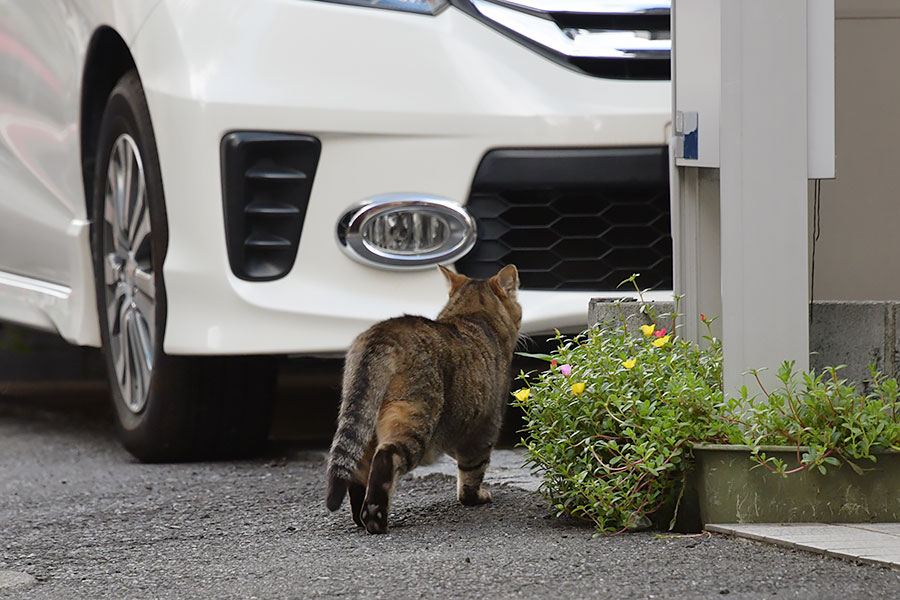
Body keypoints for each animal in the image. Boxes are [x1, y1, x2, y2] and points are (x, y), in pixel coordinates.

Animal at [324, 264, 520, 532]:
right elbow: (471, 473)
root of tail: (383, 332)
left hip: (363, 418)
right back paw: (374, 517)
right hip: (415, 417)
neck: (473, 316)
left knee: (357, 468)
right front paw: (475, 497)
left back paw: (360, 518)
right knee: (386, 458)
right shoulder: (483, 431)